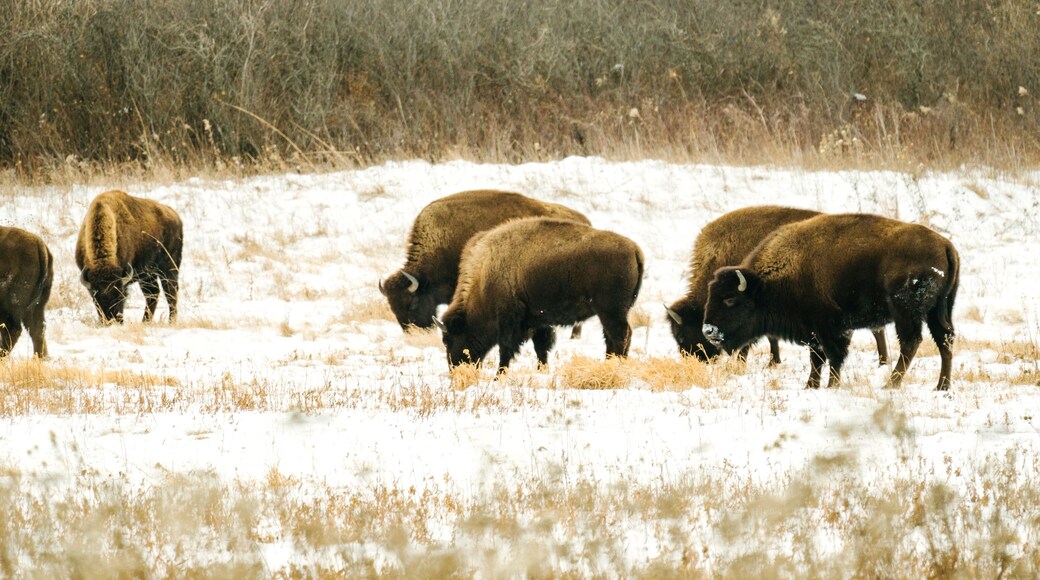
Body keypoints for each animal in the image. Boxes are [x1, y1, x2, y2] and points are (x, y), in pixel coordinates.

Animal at [75, 190, 183, 324]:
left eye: (121, 296)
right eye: (96, 297)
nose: (111, 321)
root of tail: (175, 216)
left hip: (169, 268)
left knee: (170, 292)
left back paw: (170, 321)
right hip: (148, 275)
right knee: (153, 293)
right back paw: (145, 322)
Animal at [436, 217, 644, 371]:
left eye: (448, 340)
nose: (455, 368)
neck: (485, 277)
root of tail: (634, 248)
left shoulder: (510, 322)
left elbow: (506, 350)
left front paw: (499, 375)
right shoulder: (538, 321)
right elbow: (541, 348)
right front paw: (541, 370)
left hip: (610, 312)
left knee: (619, 336)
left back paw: (615, 365)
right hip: (613, 313)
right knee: (614, 337)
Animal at [666, 206, 887, 364]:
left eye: (681, 335)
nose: (696, 360)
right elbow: (771, 336)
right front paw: (774, 361)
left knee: (878, 330)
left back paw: (883, 362)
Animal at [702, 213, 959, 390]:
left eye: (730, 299)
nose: (708, 330)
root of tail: (946, 245)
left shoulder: (827, 328)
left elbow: (831, 357)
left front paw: (829, 385)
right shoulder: (817, 331)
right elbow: (818, 358)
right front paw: (811, 385)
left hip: (905, 312)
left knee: (911, 342)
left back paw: (891, 384)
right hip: (940, 310)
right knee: (944, 339)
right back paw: (942, 386)